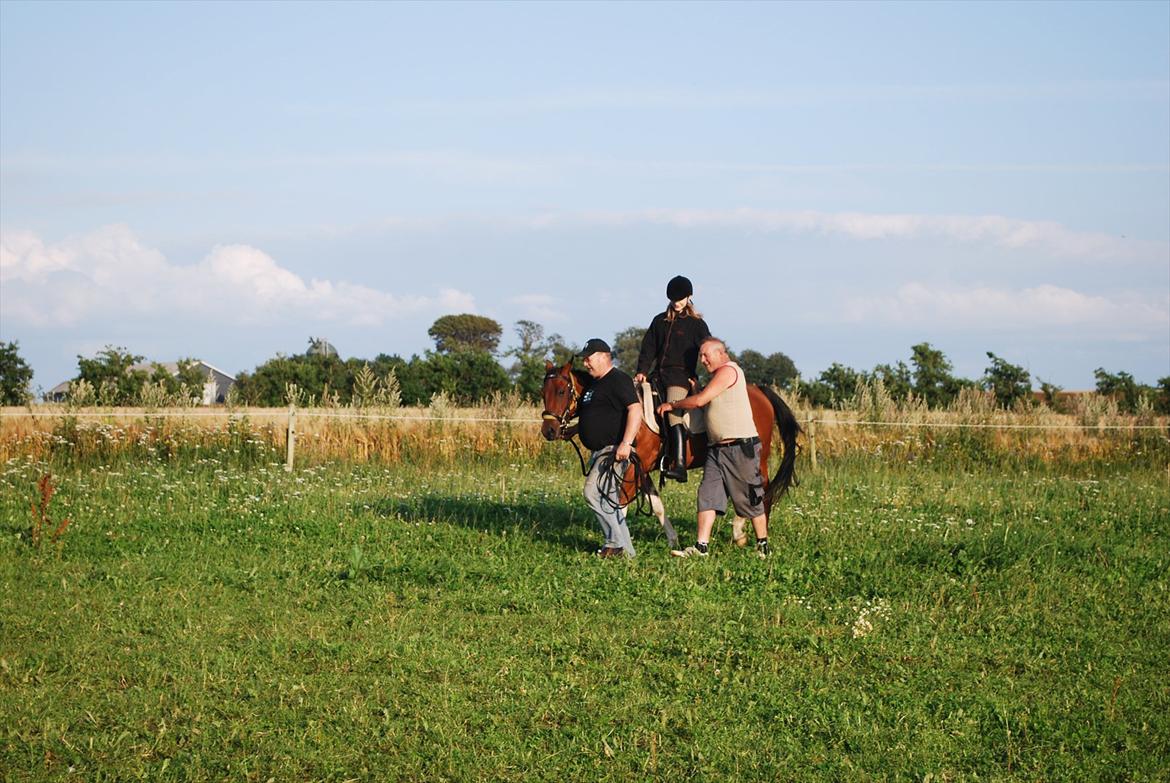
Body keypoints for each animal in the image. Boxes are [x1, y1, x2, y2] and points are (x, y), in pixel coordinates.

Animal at [540, 360, 801, 550]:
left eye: (561, 391)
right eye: (543, 393)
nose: (549, 430)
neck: (630, 416)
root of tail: (760, 392)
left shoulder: (633, 466)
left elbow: (621, 502)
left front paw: (617, 545)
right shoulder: (642, 467)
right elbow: (656, 505)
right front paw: (672, 540)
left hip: (757, 456)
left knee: (761, 490)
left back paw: (743, 531)